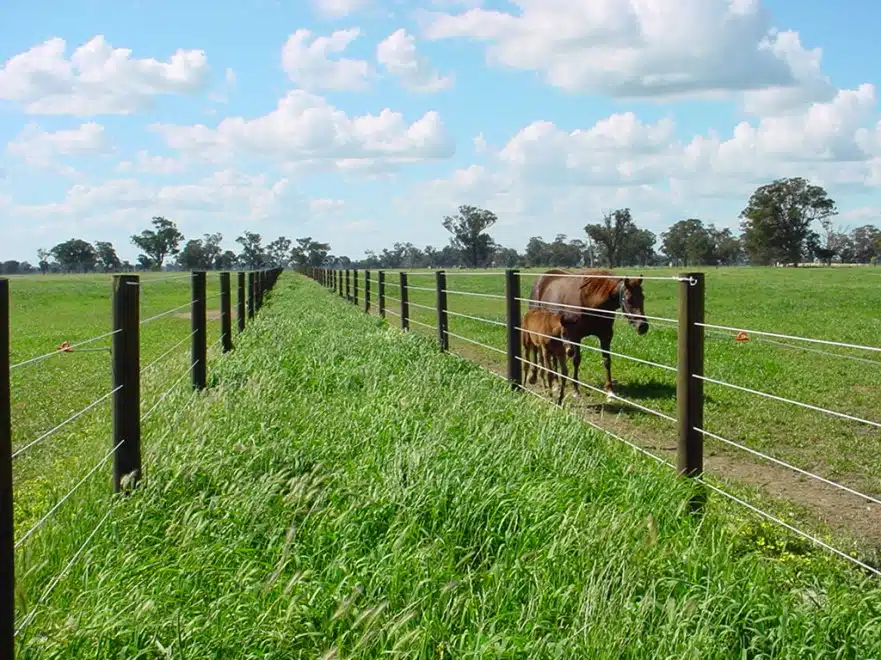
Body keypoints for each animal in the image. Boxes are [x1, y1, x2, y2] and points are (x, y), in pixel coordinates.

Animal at [528, 269, 648, 399]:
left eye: (643, 297)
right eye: (629, 299)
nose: (643, 327)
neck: (589, 300)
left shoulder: (605, 336)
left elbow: (607, 360)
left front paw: (610, 391)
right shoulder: (575, 337)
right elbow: (576, 360)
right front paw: (575, 390)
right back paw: (551, 382)